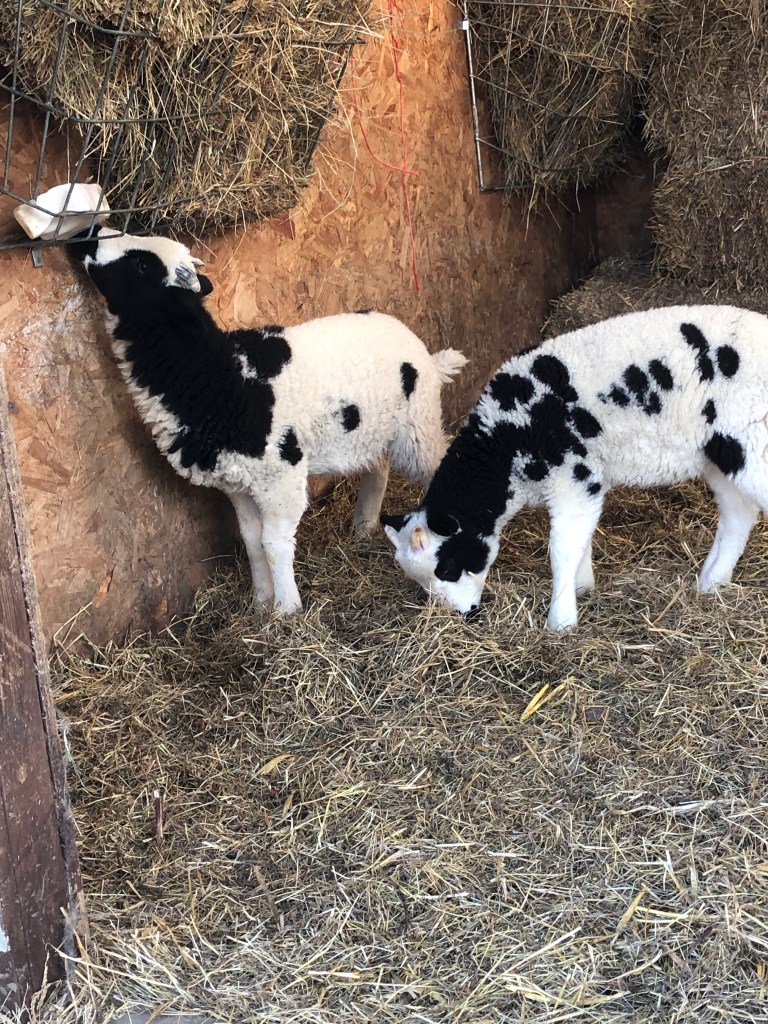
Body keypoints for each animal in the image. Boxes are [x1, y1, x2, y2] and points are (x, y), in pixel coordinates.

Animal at [69, 227, 467, 614]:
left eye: (141, 266)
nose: (89, 234)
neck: (217, 375)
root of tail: (423, 351)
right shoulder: (236, 483)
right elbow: (251, 540)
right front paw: (260, 603)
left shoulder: (281, 478)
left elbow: (274, 543)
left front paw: (286, 611)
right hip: (366, 431)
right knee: (378, 468)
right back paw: (363, 527)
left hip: (416, 426)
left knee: (437, 462)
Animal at [382, 304, 768, 630]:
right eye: (423, 582)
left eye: (446, 566)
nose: (465, 615)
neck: (505, 442)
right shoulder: (584, 483)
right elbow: (580, 541)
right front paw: (582, 588)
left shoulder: (573, 476)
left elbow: (562, 550)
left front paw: (561, 621)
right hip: (721, 455)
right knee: (738, 516)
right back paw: (710, 583)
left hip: (752, 443)